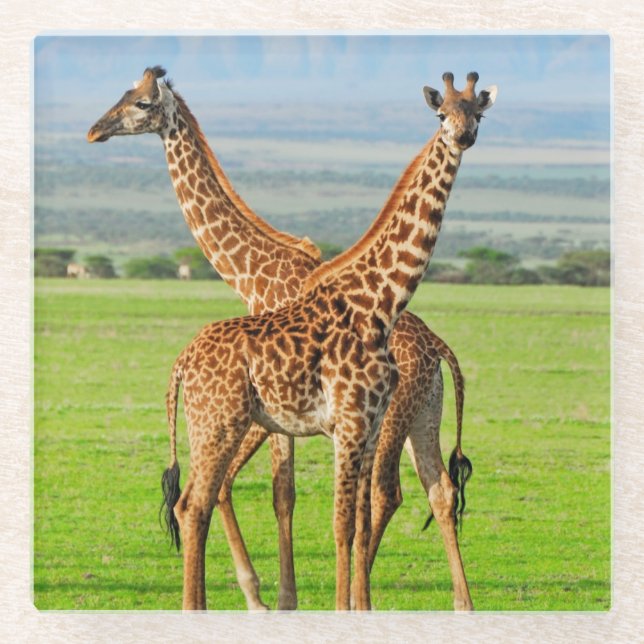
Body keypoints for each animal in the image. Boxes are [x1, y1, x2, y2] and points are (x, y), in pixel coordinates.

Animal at [87, 68, 496, 610]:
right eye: (440, 114)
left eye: (142, 102)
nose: (95, 130)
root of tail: (440, 349)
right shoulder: (309, 421)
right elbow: (290, 498)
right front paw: (283, 599)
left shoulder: (332, 423)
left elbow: (315, 508)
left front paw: (287, 599)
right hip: (411, 418)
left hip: (402, 418)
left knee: (398, 493)